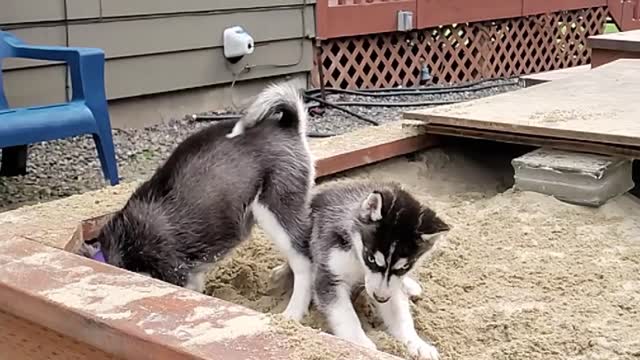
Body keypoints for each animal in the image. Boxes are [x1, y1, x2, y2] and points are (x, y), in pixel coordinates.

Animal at [270, 181, 444, 358]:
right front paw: (361, 343)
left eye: (404, 267)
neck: (359, 260)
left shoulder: (390, 285)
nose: (380, 298)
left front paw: (417, 343)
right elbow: (346, 316)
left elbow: (399, 314)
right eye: (371, 258)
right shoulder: (329, 274)